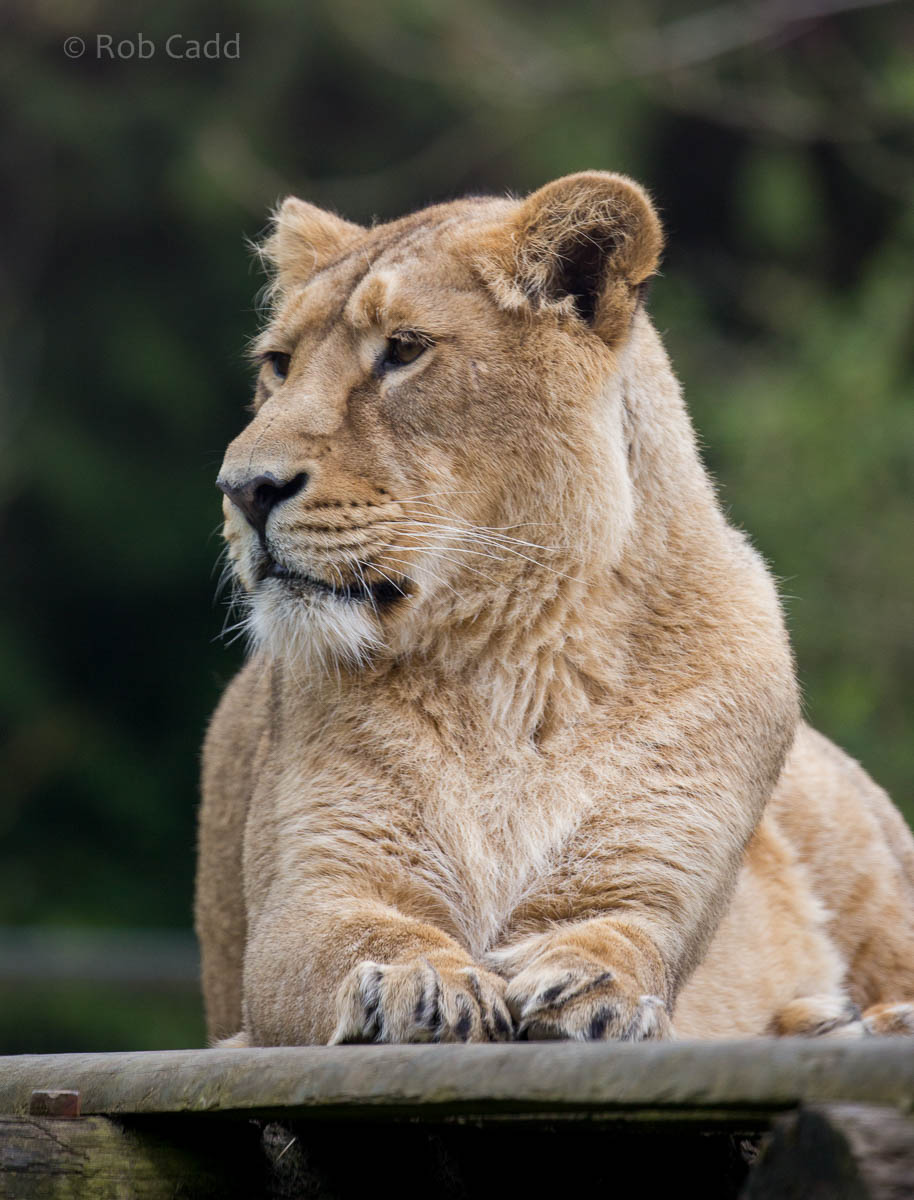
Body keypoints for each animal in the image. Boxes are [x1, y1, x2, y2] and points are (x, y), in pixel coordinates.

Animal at [196, 172, 914, 1046]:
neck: (515, 654)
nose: (244, 489)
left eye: (404, 349)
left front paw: (585, 983)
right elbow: (363, 936)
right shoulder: (310, 898)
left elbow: (623, 939)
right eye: (279, 363)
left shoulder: (645, 874)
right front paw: (416, 983)